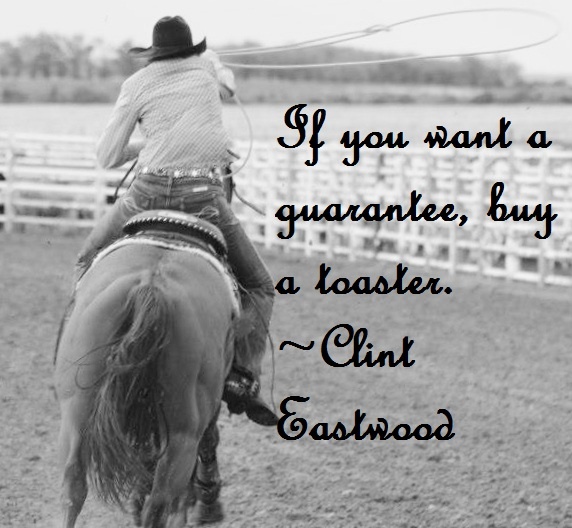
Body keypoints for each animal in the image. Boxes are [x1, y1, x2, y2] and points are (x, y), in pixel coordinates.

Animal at [54, 210, 240, 528]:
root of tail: (151, 286)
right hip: (183, 434)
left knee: (73, 485)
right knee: (161, 501)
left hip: (76, 414)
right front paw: (207, 502)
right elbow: (209, 441)